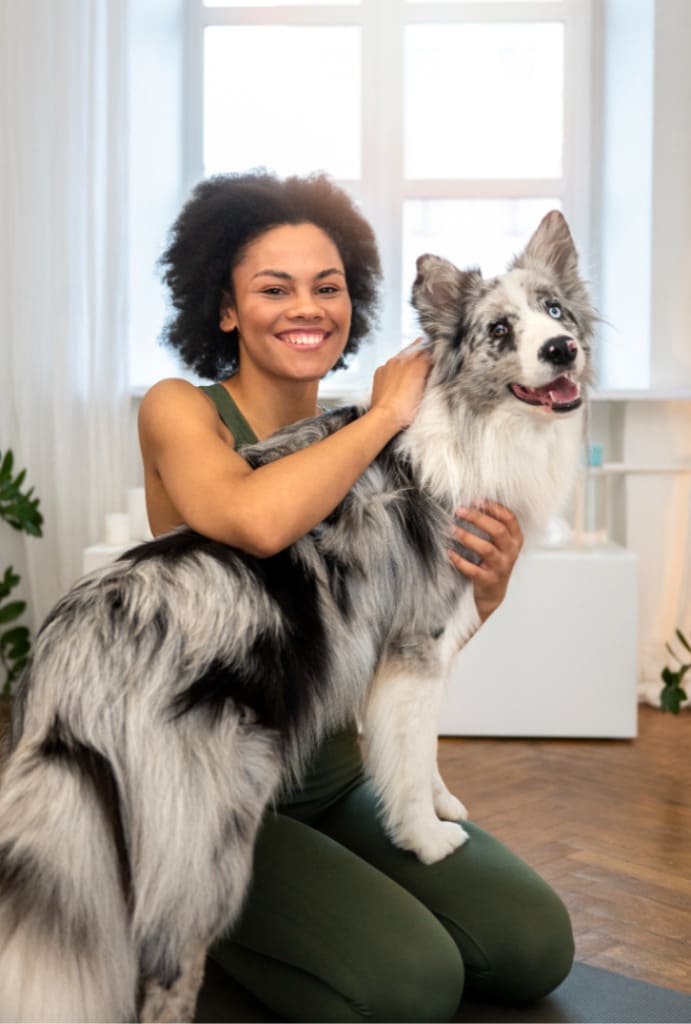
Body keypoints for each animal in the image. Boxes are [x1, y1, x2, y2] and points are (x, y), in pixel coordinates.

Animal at [0, 211, 593, 1019]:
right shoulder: (414, 645)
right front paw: (426, 839)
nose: (561, 348)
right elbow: (408, 754)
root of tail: (70, 650)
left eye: (555, 310)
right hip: (200, 839)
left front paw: (444, 806)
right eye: (500, 330)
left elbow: (425, 752)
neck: (475, 423)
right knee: (164, 971)